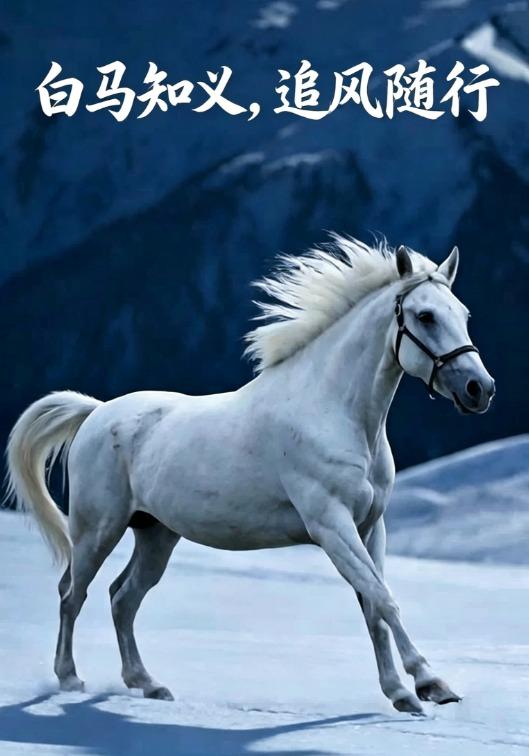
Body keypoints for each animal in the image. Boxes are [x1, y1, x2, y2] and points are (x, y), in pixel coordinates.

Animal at [6, 236, 495, 715]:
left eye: (464, 314)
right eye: (425, 315)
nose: (480, 389)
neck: (335, 413)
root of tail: (95, 412)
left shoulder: (370, 528)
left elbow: (373, 605)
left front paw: (400, 693)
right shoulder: (331, 526)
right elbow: (384, 598)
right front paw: (431, 683)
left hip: (156, 533)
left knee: (122, 598)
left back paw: (147, 683)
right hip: (98, 529)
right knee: (72, 593)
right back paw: (70, 678)